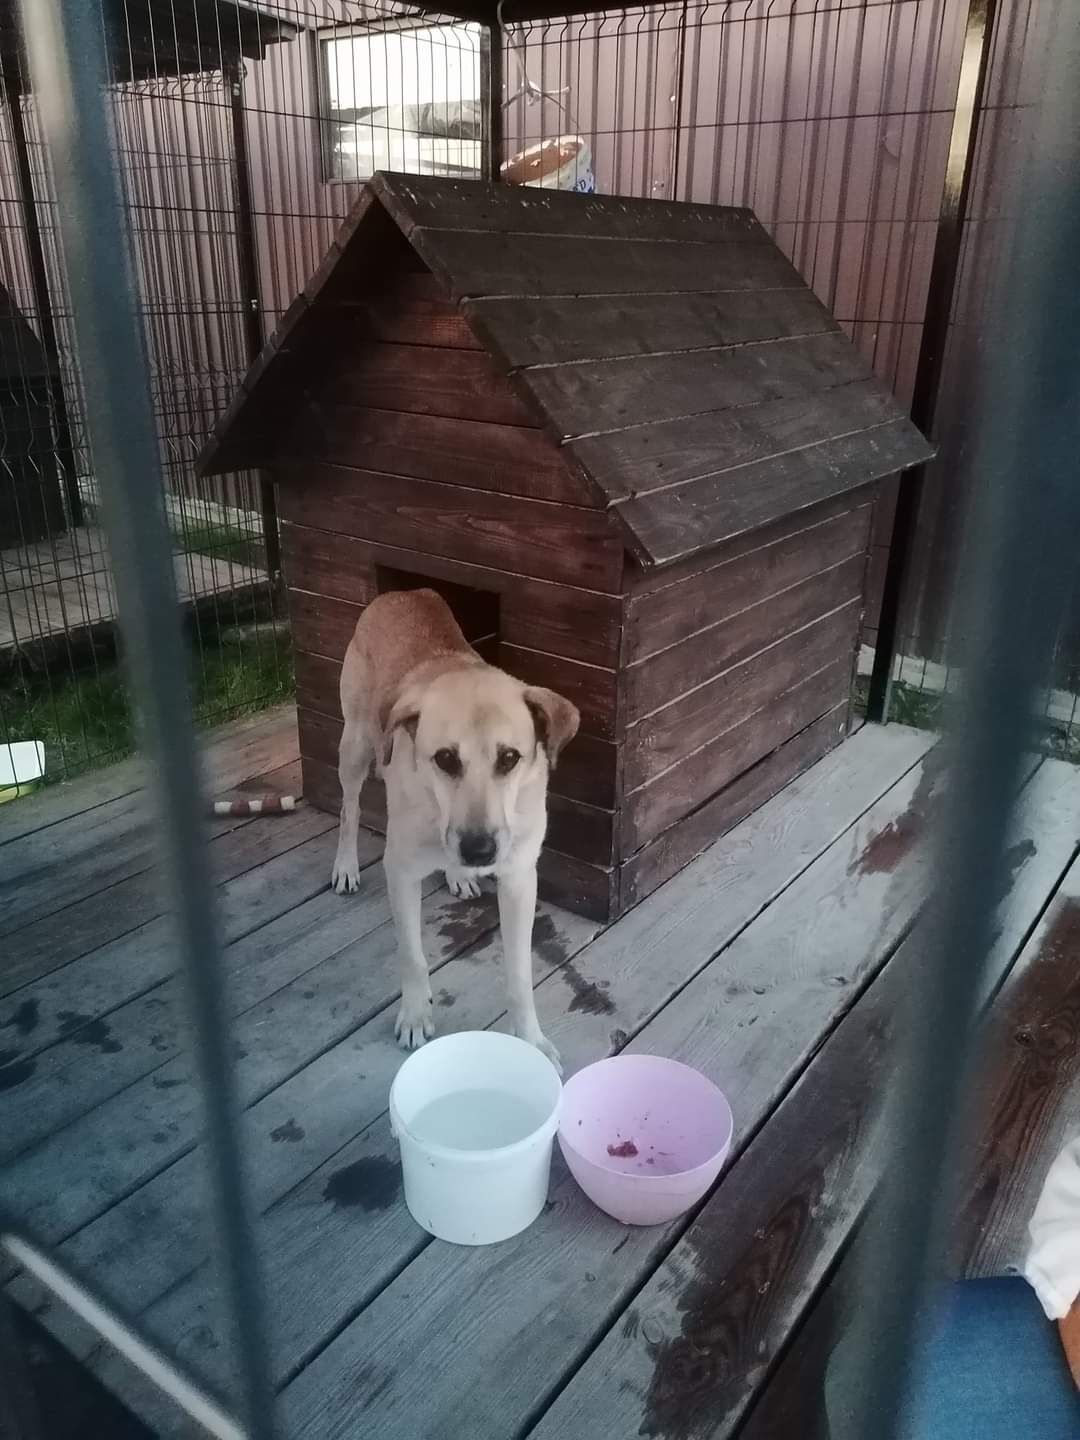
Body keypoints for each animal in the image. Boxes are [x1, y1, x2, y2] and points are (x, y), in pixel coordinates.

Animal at [332, 584, 578, 1071]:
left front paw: (531, 1040)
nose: (479, 851)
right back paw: (346, 865)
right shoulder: (401, 872)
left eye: (510, 758)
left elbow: (520, 975)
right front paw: (414, 1014)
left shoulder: (520, 878)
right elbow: (411, 955)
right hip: (355, 745)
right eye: (445, 759)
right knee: (349, 808)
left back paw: (457, 875)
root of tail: (402, 591)